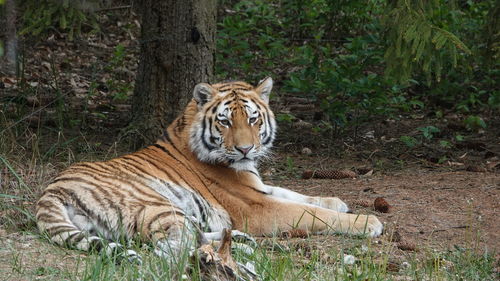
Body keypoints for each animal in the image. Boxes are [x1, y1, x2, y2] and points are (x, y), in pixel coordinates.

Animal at [36, 78, 382, 264]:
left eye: (253, 118)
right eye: (225, 121)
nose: (245, 149)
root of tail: (51, 191)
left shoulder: (259, 187)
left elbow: (299, 195)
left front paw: (338, 201)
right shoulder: (255, 205)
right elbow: (309, 213)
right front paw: (367, 222)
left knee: (189, 236)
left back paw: (240, 240)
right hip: (157, 204)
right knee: (172, 248)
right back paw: (235, 249)